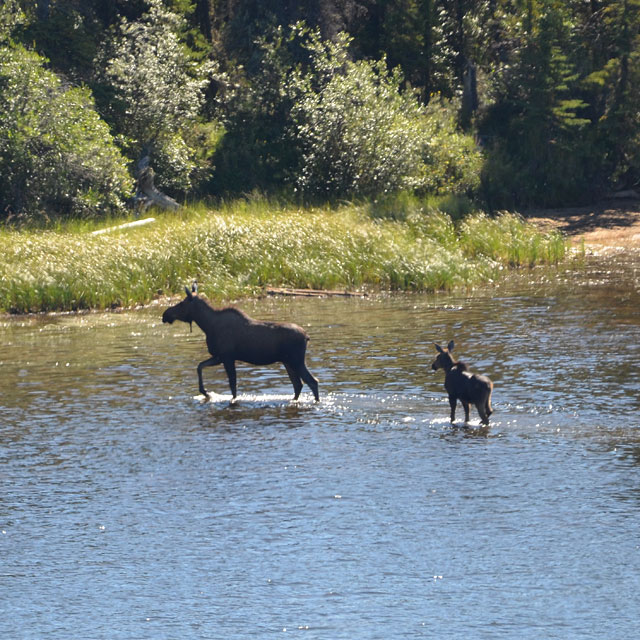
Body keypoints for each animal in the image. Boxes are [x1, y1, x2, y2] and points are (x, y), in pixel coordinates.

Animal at [161, 284, 318, 400]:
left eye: (181, 303)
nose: (165, 314)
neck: (207, 325)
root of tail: (307, 336)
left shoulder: (227, 357)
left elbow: (233, 386)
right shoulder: (219, 356)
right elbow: (200, 366)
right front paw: (205, 392)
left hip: (296, 360)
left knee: (312, 381)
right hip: (287, 362)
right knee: (298, 384)